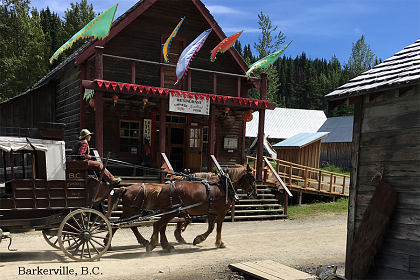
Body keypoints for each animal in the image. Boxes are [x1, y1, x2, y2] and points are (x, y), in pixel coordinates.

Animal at [107, 164, 256, 252]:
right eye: (252, 177)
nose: (254, 192)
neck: (224, 185)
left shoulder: (211, 212)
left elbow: (210, 228)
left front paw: (198, 239)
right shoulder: (221, 212)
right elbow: (217, 228)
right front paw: (219, 243)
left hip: (163, 212)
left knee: (157, 226)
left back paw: (162, 244)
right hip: (143, 211)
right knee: (153, 225)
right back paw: (151, 244)